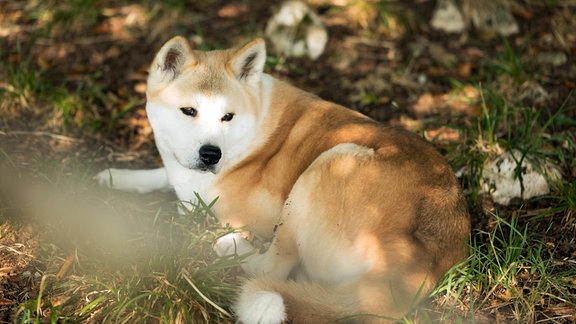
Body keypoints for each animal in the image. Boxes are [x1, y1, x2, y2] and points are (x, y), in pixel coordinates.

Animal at [95, 36, 472, 322]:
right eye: (189, 111)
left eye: (227, 116)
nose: (211, 154)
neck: (254, 126)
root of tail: (414, 267)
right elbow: (162, 174)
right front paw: (116, 177)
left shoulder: (215, 206)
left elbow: (183, 198)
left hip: (326, 168)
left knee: (273, 268)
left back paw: (234, 248)